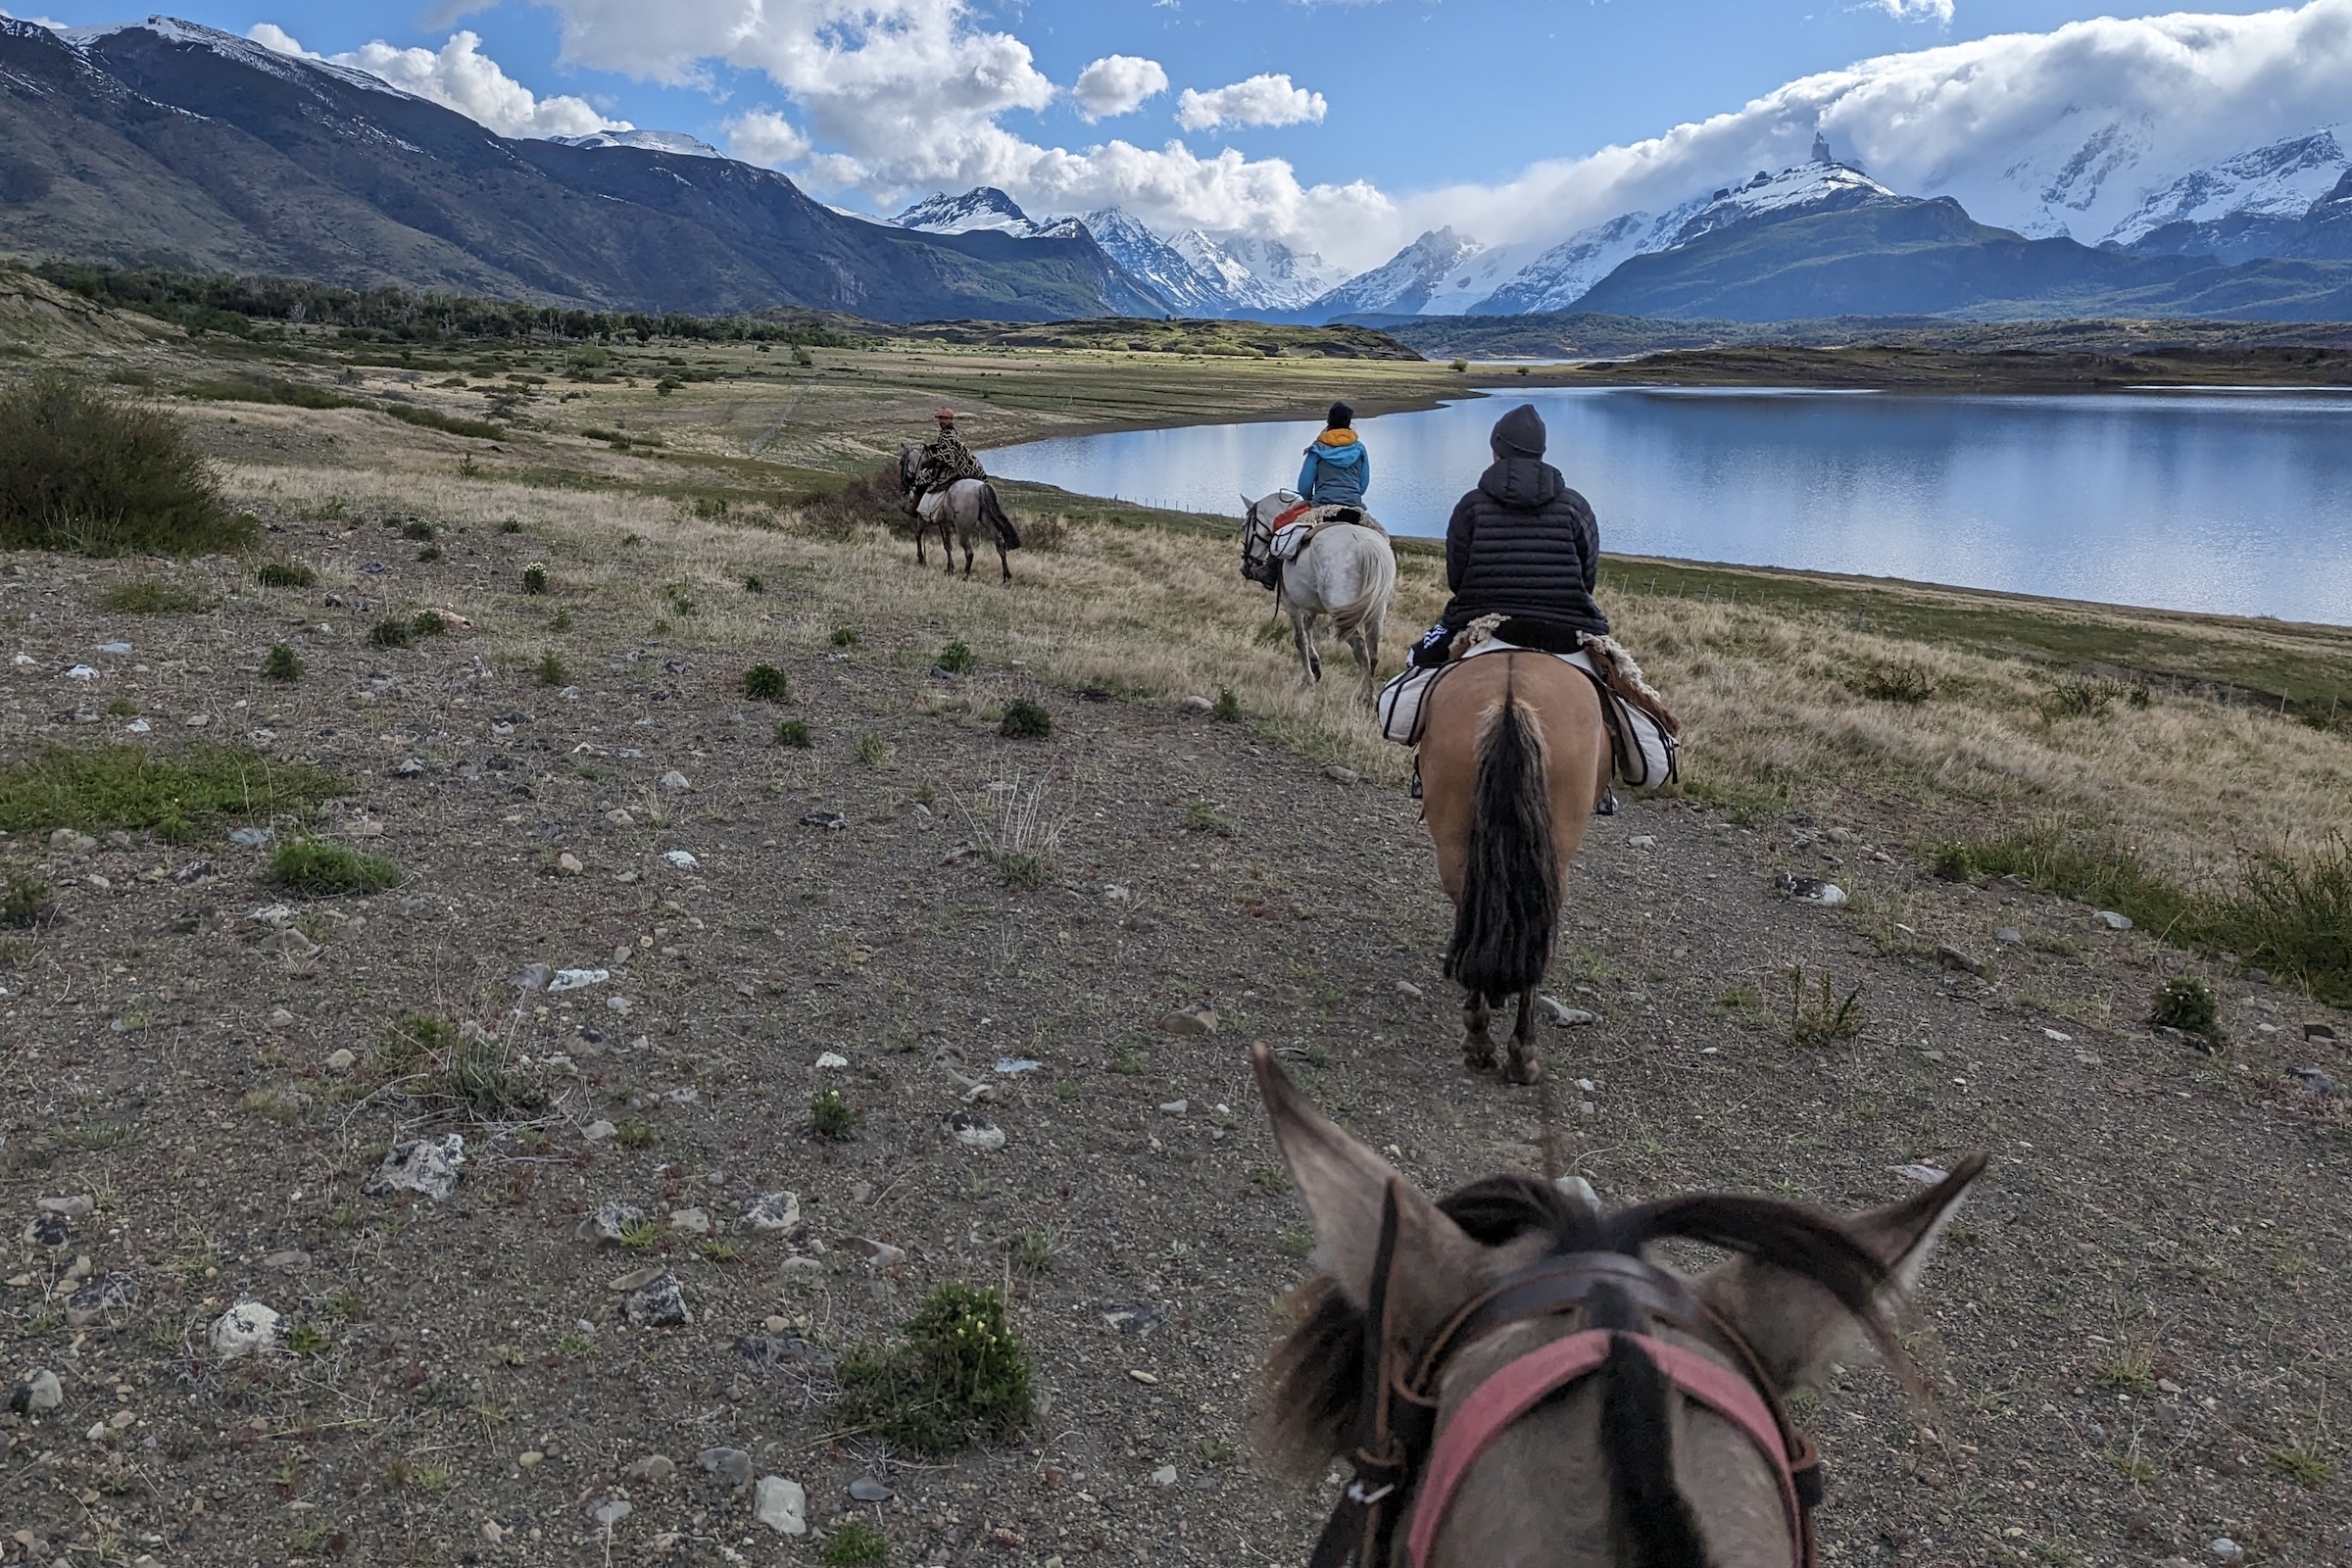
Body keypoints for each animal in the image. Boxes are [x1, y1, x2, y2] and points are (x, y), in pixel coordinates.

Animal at [897, 445, 1022, 582]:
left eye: (902, 462)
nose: (903, 486)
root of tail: (981, 488)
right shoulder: (945, 524)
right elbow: (947, 545)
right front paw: (949, 568)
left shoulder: (922, 518)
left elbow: (918, 534)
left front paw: (921, 559)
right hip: (989, 523)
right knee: (1000, 547)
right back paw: (1006, 577)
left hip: (962, 529)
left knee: (969, 552)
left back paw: (965, 575)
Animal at [1241, 493, 1397, 705]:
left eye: (1244, 526)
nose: (1245, 568)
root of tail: (1366, 544)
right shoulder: (1313, 605)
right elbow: (1308, 631)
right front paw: (1315, 665)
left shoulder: (1290, 602)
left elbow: (1300, 638)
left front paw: (1308, 678)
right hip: (1376, 612)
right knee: (1373, 652)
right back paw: (1368, 693)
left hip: (1344, 615)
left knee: (1359, 647)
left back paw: (1365, 696)